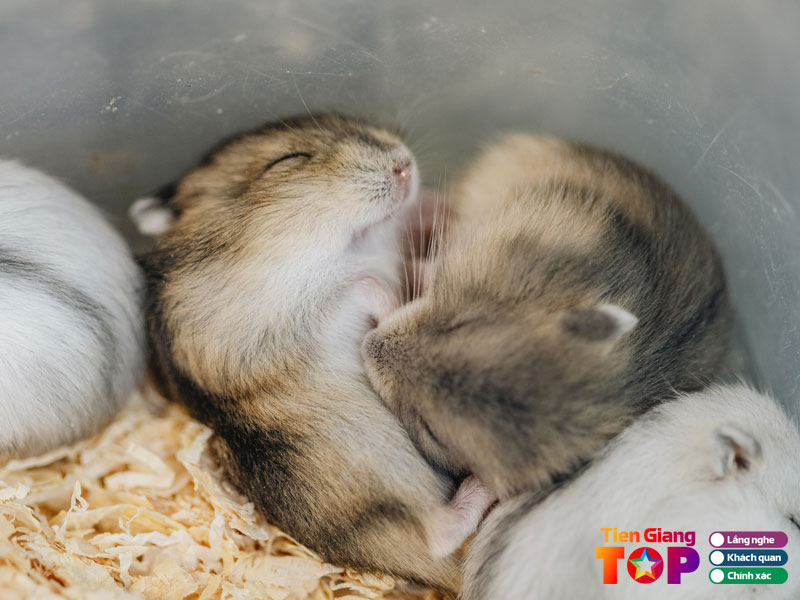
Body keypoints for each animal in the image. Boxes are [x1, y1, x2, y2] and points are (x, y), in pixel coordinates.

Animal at [139, 115, 492, 593]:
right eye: (288, 159)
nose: (404, 165)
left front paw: (436, 209)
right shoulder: (278, 324)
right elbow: (362, 290)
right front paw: (390, 290)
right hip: (370, 461)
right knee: (438, 534)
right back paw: (483, 486)